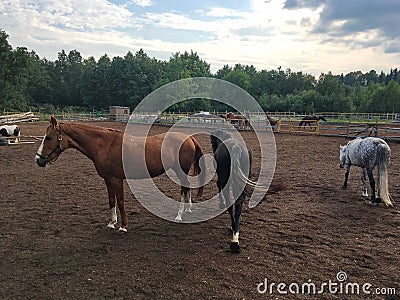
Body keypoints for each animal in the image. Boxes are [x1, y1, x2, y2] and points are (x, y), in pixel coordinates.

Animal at [35, 116, 206, 231]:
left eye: (48, 137)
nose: (38, 160)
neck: (105, 145)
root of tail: (189, 138)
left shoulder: (117, 179)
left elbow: (121, 201)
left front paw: (123, 225)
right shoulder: (108, 180)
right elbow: (112, 200)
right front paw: (112, 223)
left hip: (180, 170)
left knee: (184, 188)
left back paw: (179, 215)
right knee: (187, 187)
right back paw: (188, 209)